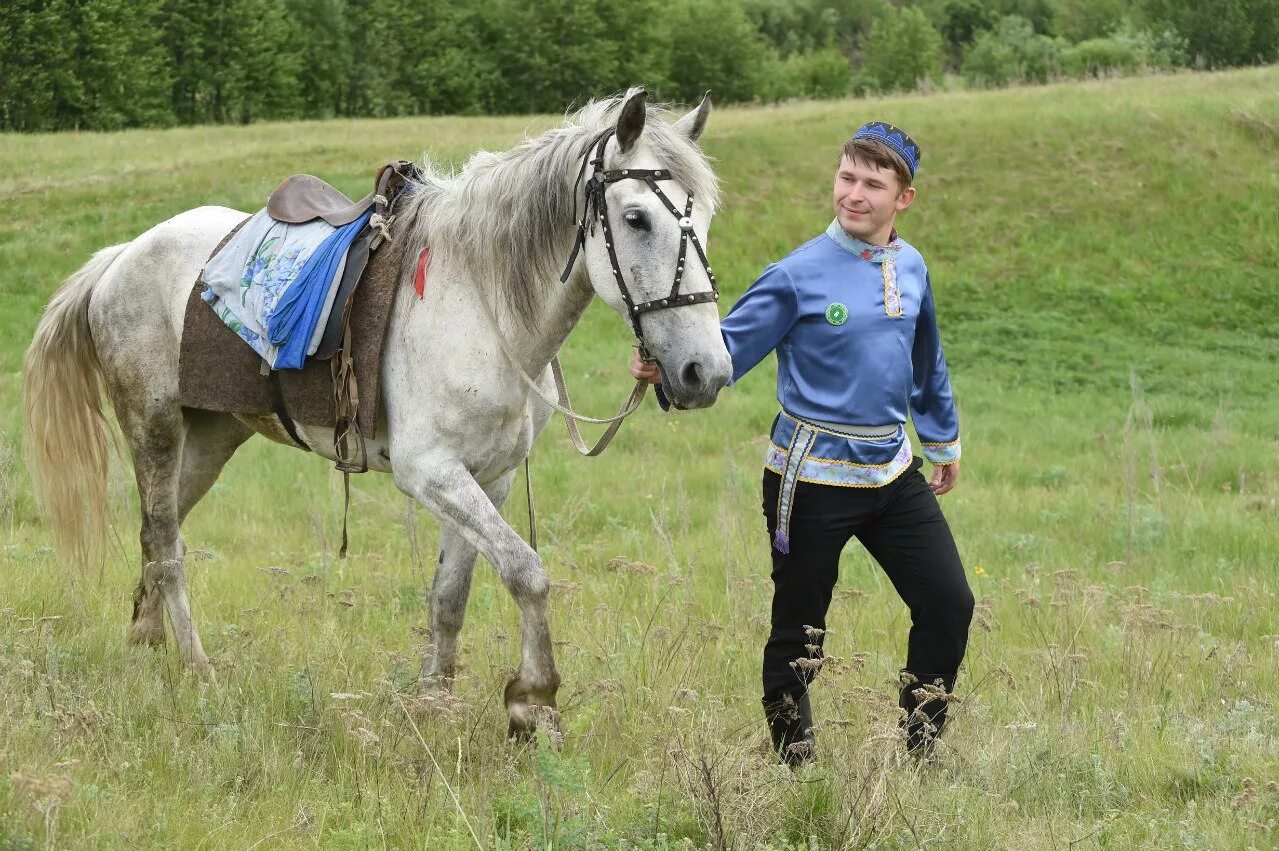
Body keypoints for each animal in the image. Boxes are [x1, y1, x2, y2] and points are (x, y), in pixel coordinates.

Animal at [22, 87, 731, 737]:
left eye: (705, 219)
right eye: (636, 218)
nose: (707, 373)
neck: (481, 303)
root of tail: (121, 256)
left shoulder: (489, 478)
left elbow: (451, 596)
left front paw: (434, 701)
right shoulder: (431, 472)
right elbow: (526, 572)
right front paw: (533, 702)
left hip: (210, 438)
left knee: (154, 532)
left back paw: (146, 647)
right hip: (154, 427)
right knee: (167, 544)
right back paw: (198, 668)